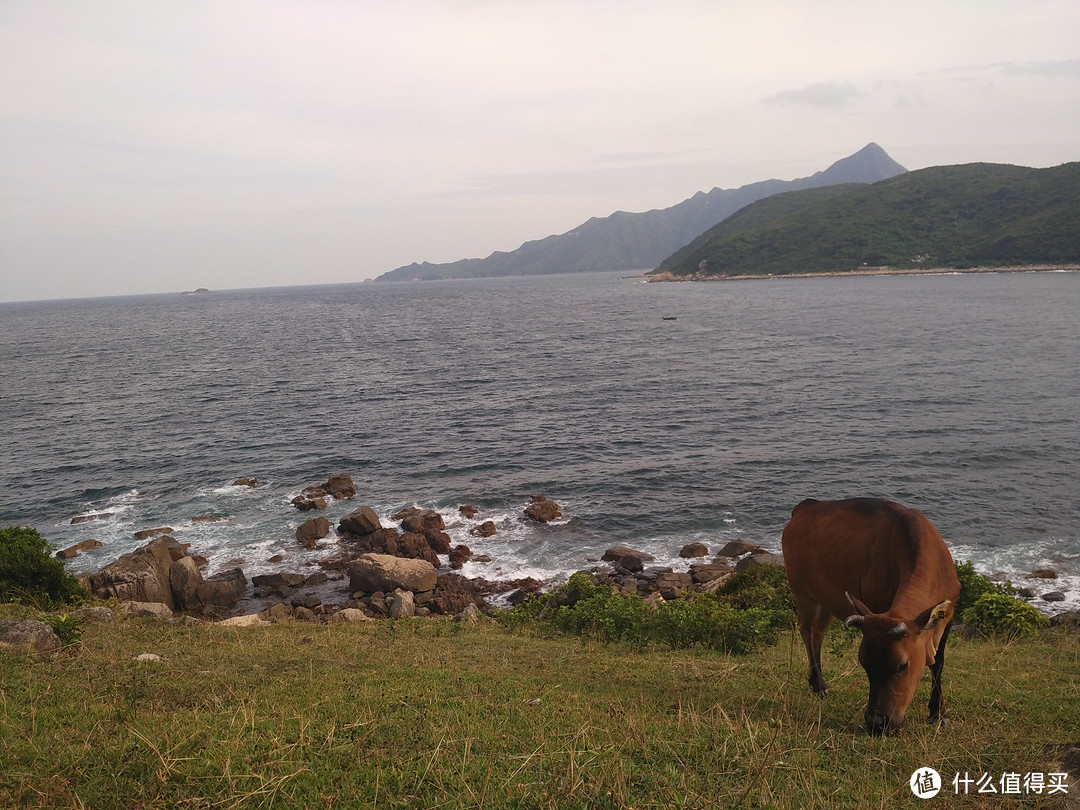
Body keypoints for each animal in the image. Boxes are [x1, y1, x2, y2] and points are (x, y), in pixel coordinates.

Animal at [777, 498, 963, 738]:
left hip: (827, 599)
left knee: (818, 633)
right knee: (806, 630)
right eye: (864, 663)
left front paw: (937, 714)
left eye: (902, 665)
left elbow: (938, 664)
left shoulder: (948, 616)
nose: (877, 722)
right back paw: (818, 683)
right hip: (802, 591)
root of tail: (805, 506)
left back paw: (819, 682)